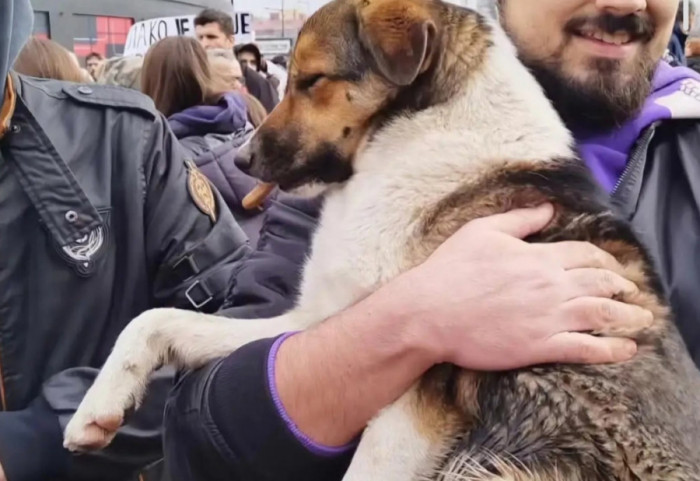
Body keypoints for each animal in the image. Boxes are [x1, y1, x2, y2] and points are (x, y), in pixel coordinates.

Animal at [65, 1, 700, 478]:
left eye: (312, 80)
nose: (242, 161)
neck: (417, 132)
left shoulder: (417, 400)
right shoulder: (316, 322)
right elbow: (155, 321)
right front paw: (98, 407)